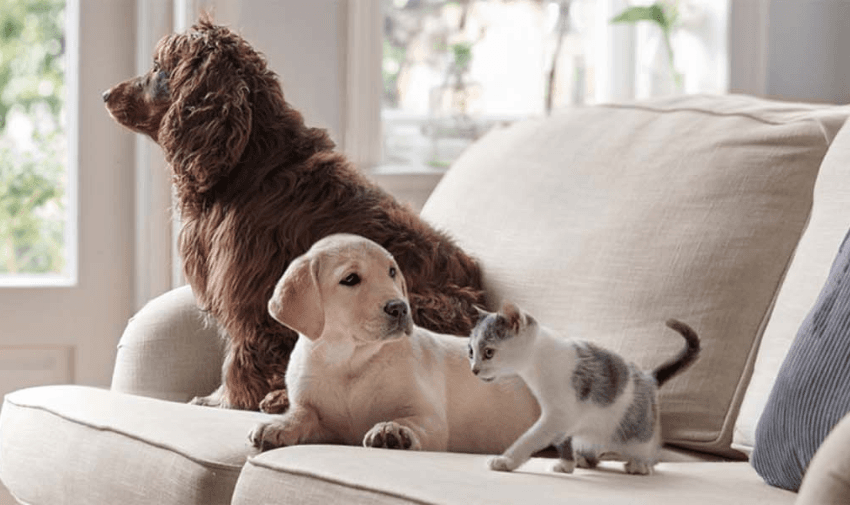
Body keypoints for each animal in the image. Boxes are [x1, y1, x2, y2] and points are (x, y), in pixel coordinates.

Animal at [102, 15, 480, 412]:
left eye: (158, 69)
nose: (106, 94)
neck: (249, 164)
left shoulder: (248, 295)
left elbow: (241, 357)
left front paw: (228, 401)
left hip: (414, 304)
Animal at [248, 234, 536, 450]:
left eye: (392, 272)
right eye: (350, 279)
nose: (400, 307)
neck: (349, 359)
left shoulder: (430, 417)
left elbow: (412, 421)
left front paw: (392, 429)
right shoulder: (319, 416)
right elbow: (302, 414)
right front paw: (278, 425)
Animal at [468, 302, 700, 474]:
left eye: (488, 352)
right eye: (471, 351)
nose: (474, 370)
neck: (537, 362)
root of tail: (649, 377)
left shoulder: (560, 413)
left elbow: (531, 437)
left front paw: (506, 460)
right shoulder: (563, 416)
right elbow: (563, 438)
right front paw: (567, 464)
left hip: (638, 432)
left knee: (651, 453)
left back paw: (640, 465)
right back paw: (584, 459)